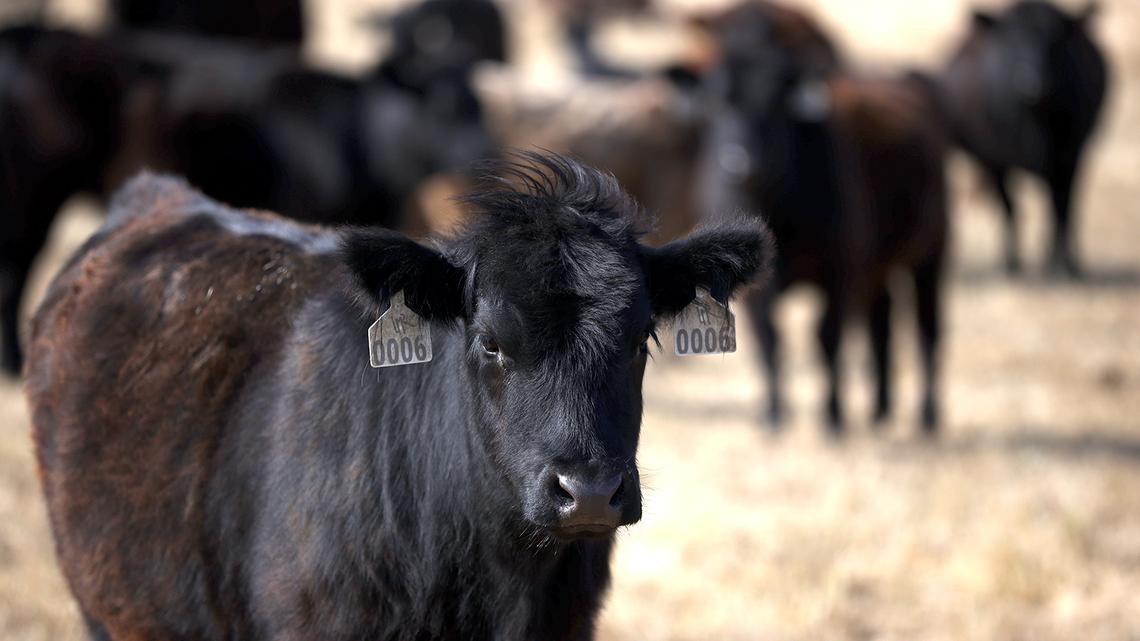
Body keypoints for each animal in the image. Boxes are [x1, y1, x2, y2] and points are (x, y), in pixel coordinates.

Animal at [694, 1, 949, 434]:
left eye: (776, 102)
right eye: (719, 100)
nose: (740, 161)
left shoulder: (840, 271)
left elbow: (827, 338)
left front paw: (833, 417)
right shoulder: (752, 290)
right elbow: (770, 340)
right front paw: (774, 415)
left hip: (932, 251)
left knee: (926, 327)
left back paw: (928, 416)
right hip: (877, 268)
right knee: (881, 321)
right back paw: (880, 410)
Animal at [937, 0, 1108, 276]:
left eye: (1055, 42)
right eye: (1010, 40)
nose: (1031, 82)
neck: (1034, 121)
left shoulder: (1070, 157)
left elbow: (1062, 208)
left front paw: (1063, 264)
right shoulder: (994, 160)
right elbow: (1010, 206)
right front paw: (1012, 262)